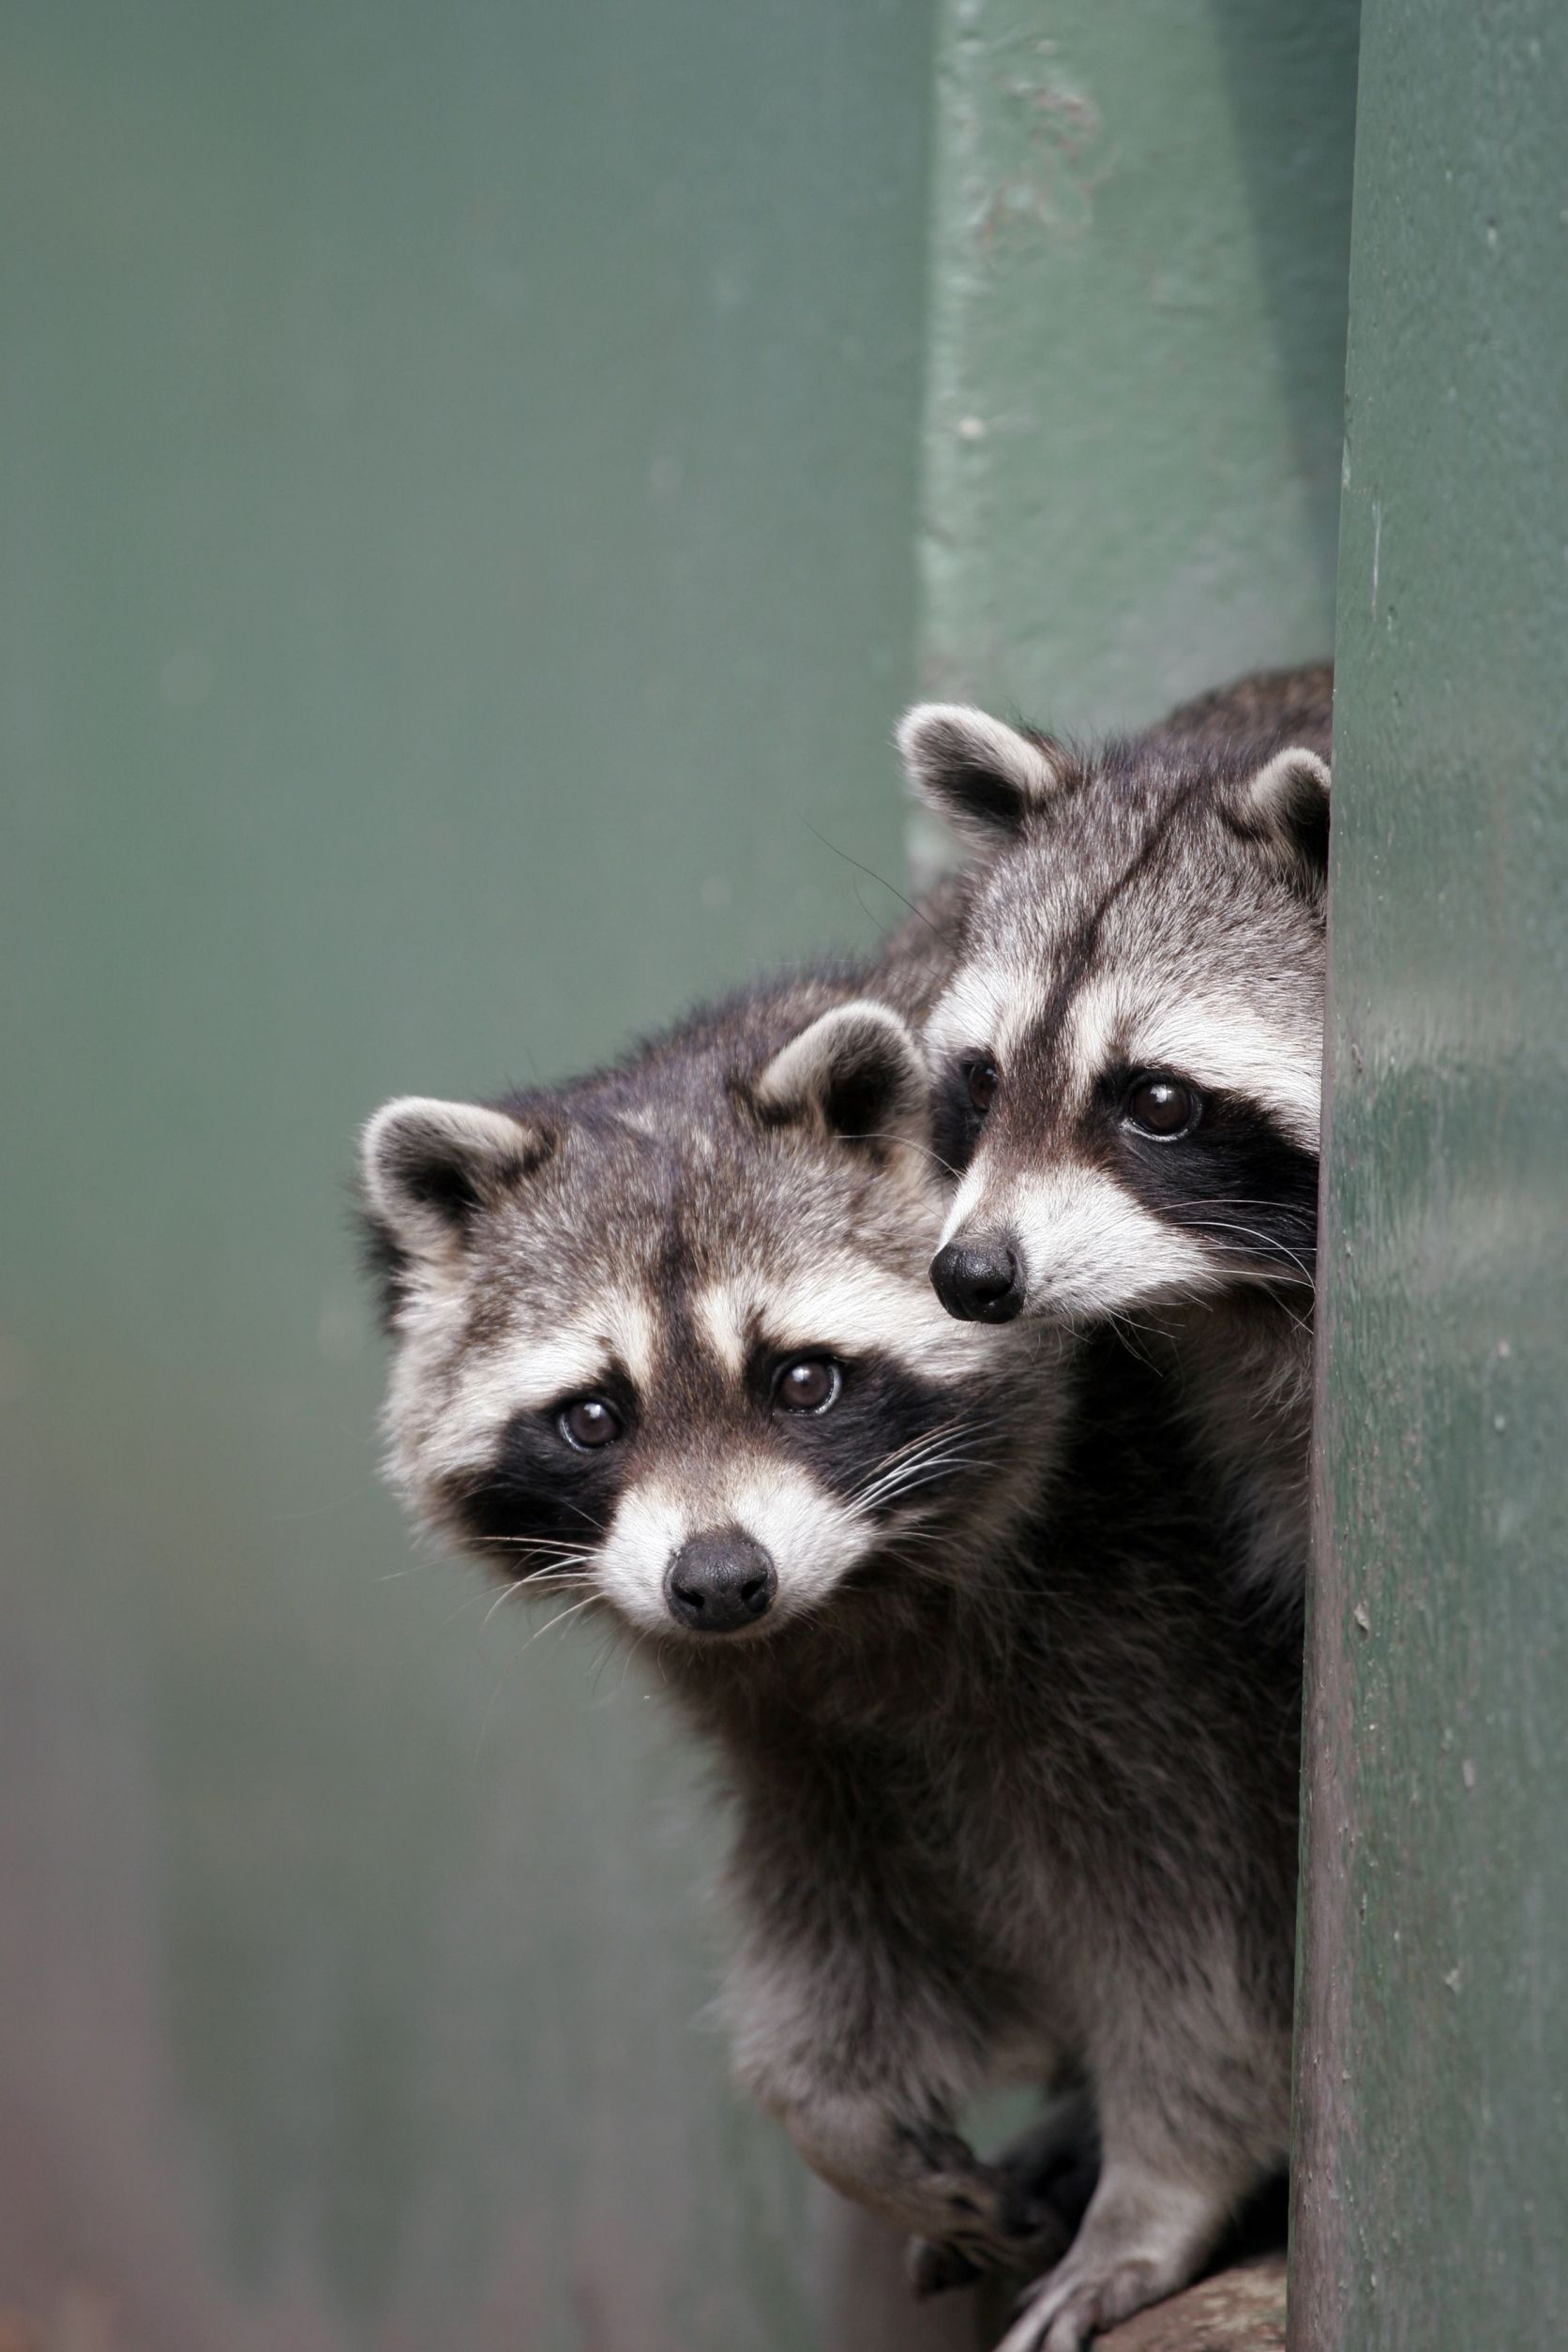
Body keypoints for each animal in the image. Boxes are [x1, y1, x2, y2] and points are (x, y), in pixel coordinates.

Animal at [364, 927, 1297, 2342]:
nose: (719, 1580)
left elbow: (1195, 1935)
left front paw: (1164, 2181)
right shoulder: (796, 1728)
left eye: (802, 1380)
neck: (855, 1604)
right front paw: (840, 2122)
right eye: (593, 1418)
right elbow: (841, 1937)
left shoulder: (1145, 1615)